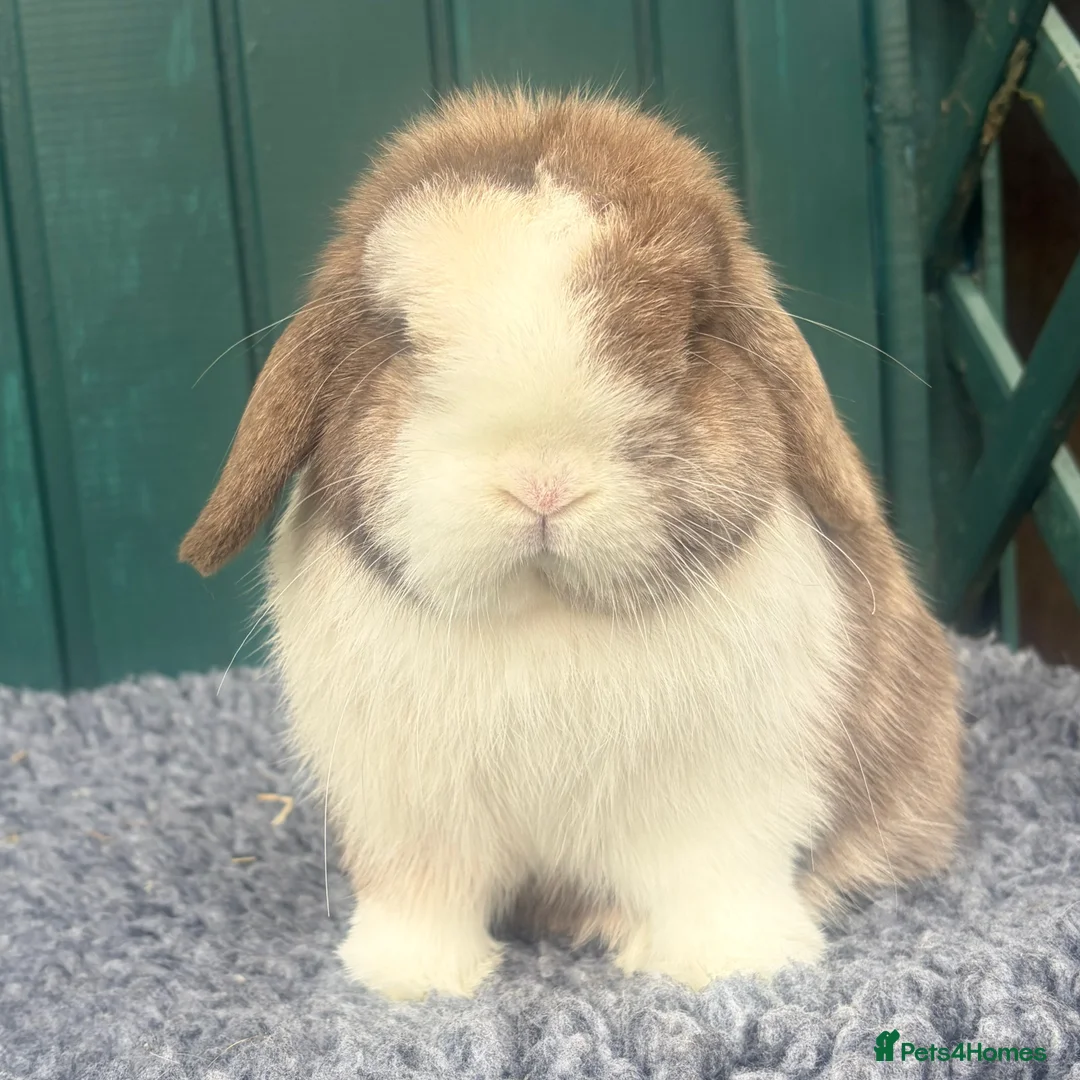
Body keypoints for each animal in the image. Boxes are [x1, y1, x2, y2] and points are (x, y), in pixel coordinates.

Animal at [180, 88, 963, 1001]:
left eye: (689, 336)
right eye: (401, 339)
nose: (542, 485)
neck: (546, 619)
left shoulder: (727, 802)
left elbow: (715, 881)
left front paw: (731, 966)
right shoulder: (409, 819)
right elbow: (423, 899)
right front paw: (411, 980)